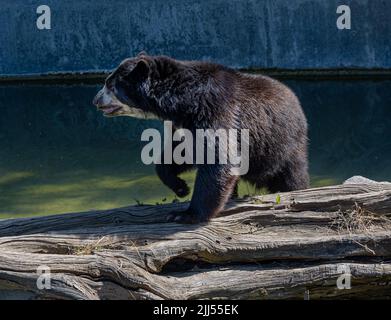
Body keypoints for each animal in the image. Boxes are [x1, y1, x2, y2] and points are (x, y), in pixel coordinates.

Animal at [92, 52, 310, 222]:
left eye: (109, 84)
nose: (95, 100)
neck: (183, 102)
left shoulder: (215, 109)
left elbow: (218, 158)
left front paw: (186, 214)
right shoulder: (185, 124)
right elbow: (181, 153)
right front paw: (181, 187)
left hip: (283, 146)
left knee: (291, 176)